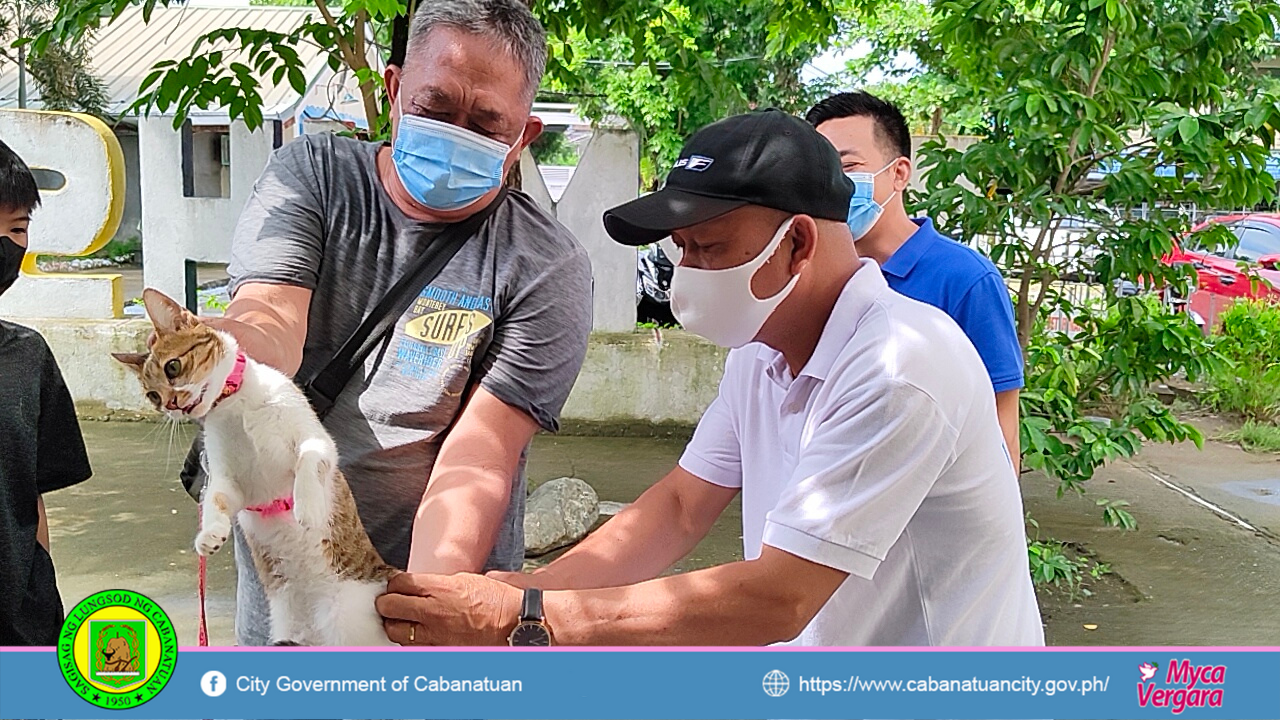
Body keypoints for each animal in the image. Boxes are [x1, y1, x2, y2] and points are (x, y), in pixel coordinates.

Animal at [114, 286, 394, 645]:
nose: (172, 405)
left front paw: (308, 507)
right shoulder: (229, 481)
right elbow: (217, 499)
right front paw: (210, 533)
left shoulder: (316, 441)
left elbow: (309, 459)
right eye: (152, 396)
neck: (235, 404)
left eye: (172, 368)